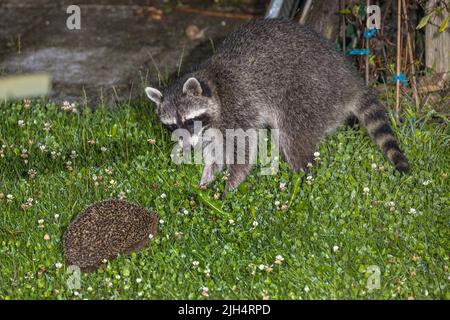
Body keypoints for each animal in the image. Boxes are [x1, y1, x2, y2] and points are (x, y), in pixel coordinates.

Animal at [146, 18, 410, 190]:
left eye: (190, 120)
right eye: (172, 126)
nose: (186, 146)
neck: (213, 85)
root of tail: (350, 81)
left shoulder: (238, 106)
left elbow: (245, 146)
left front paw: (232, 181)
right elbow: (216, 149)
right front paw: (208, 176)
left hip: (310, 95)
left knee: (292, 136)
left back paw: (302, 177)